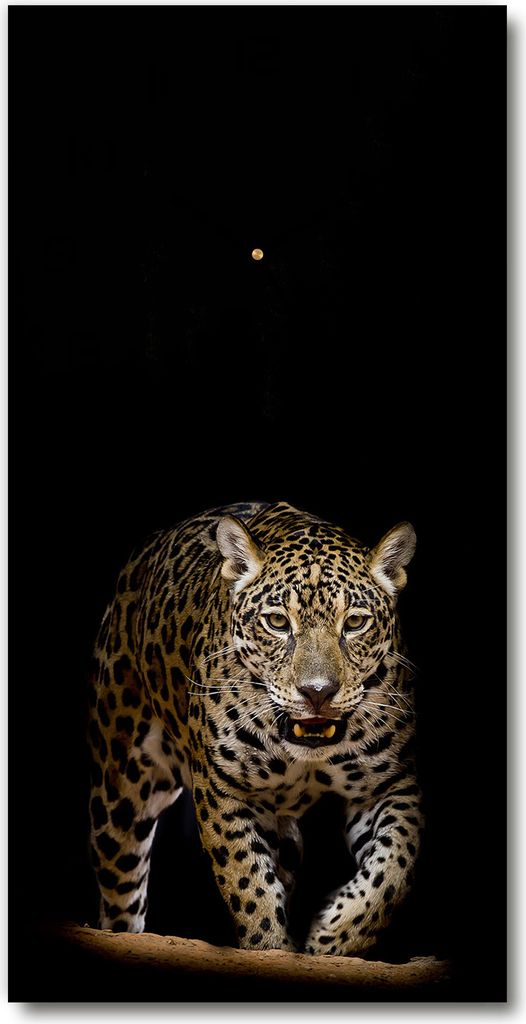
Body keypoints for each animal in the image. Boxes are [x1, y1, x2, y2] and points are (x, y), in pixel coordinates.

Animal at [88, 500, 422, 955]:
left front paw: (331, 937)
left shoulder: (389, 784)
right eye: (277, 622)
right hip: (121, 788)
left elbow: (394, 868)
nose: (318, 692)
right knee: (121, 889)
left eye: (354, 623)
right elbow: (248, 884)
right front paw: (271, 945)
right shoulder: (224, 790)